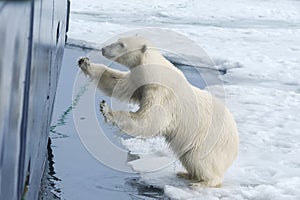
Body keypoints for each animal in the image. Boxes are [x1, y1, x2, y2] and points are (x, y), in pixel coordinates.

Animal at [78, 36, 239, 188]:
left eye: (122, 44)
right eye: (118, 40)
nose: (103, 49)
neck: (155, 73)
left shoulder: (162, 94)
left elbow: (149, 120)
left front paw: (106, 110)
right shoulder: (139, 82)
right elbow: (117, 82)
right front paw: (85, 63)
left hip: (207, 141)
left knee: (198, 159)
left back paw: (202, 182)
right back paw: (186, 174)